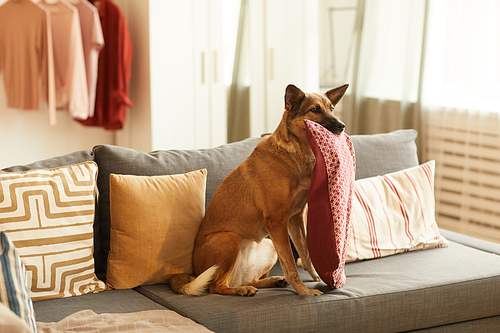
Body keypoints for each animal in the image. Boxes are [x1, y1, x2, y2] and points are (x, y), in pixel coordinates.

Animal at [170, 83, 350, 296]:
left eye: (332, 108)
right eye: (315, 110)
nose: (342, 126)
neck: (294, 154)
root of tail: (195, 272)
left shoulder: (295, 218)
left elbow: (305, 252)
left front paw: (316, 277)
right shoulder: (277, 222)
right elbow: (290, 264)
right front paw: (304, 291)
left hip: (268, 245)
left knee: (251, 280)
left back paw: (271, 282)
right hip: (230, 238)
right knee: (216, 287)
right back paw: (243, 290)